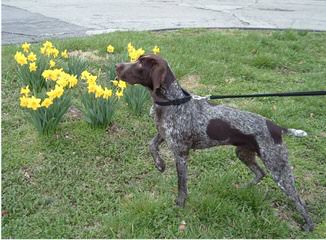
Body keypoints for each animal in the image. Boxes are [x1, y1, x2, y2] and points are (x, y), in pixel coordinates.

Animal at [116, 54, 314, 231]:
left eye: (141, 63)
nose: (117, 66)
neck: (171, 102)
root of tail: (278, 128)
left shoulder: (181, 154)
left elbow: (182, 186)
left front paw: (179, 205)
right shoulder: (163, 135)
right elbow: (151, 145)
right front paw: (160, 164)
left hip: (278, 168)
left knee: (298, 200)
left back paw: (309, 226)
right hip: (244, 153)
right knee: (260, 173)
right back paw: (243, 189)